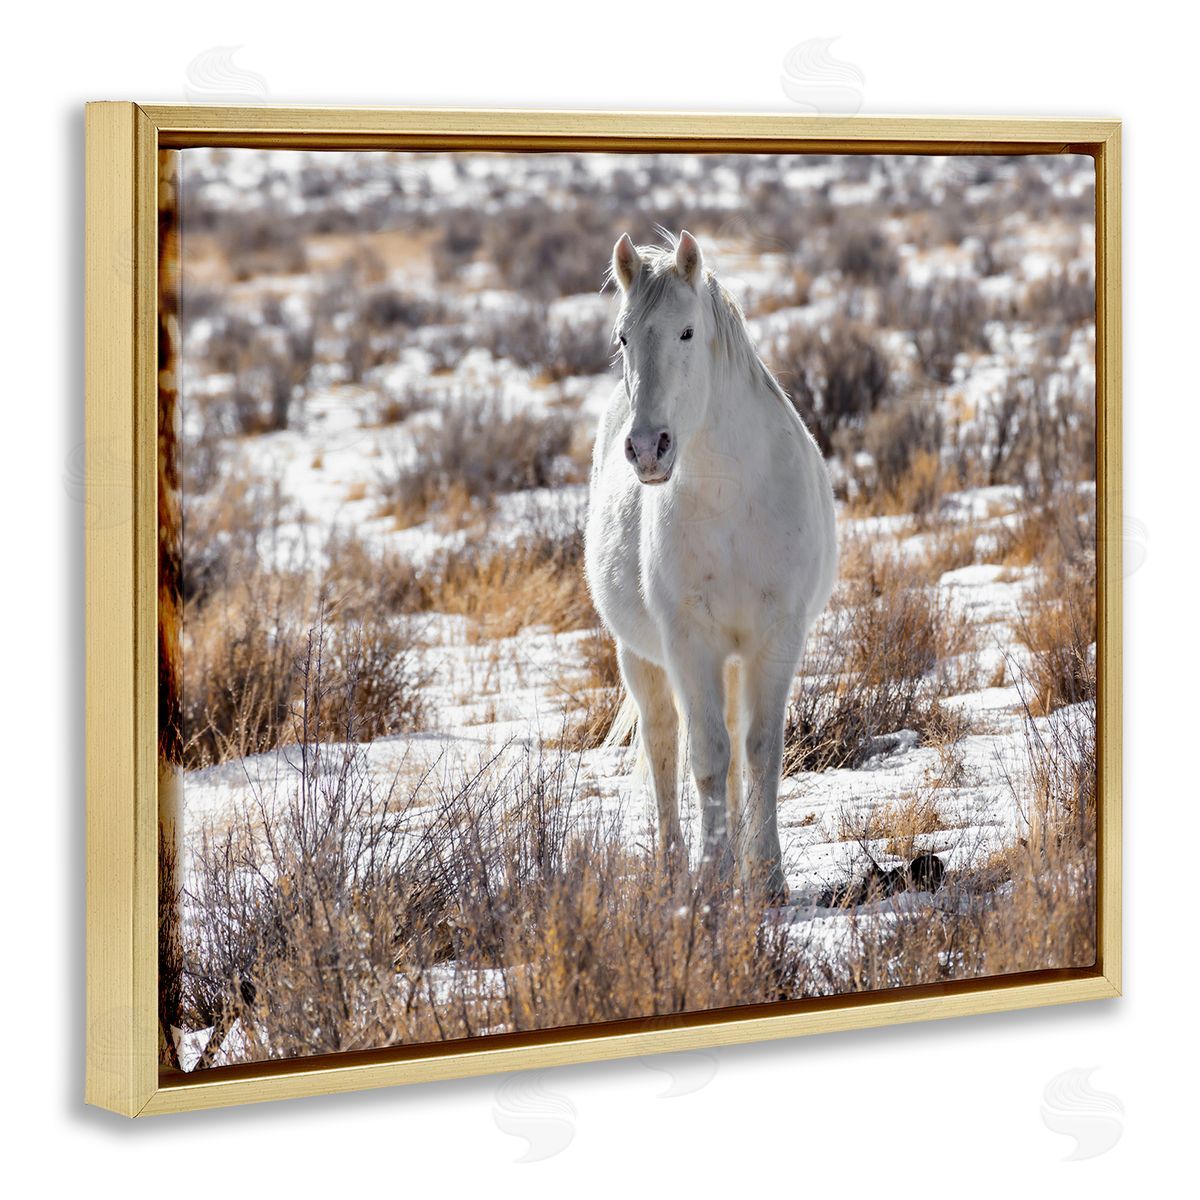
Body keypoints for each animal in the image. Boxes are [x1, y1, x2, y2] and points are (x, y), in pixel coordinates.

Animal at [584, 230, 838, 902]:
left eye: (687, 332)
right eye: (623, 336)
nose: (648, 449)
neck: (730, 498)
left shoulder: (776, 635)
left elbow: (759, 749)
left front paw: (767, 876)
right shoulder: (688, 641)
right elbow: (704, 755)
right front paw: (714, 878)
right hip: (642, 658)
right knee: (663, 744)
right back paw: (677, 863)